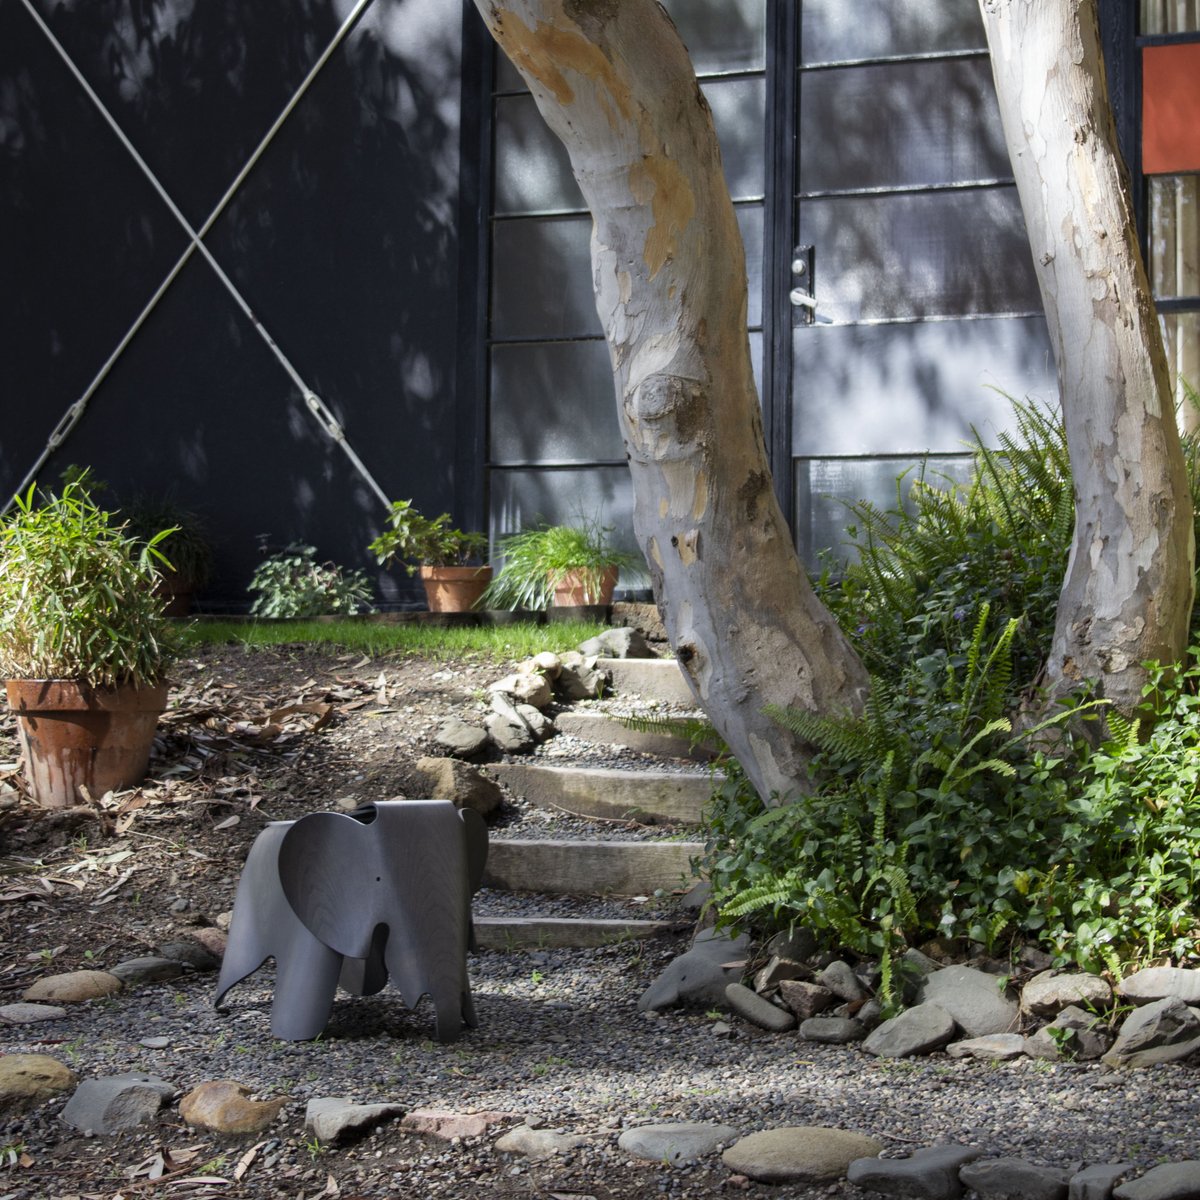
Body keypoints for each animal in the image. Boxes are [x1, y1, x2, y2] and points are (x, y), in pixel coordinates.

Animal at [214, 800, 488, 1041]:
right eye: (379, 880)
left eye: (465, 885)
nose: (444, 1035)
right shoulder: (314, 917)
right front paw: (293, 1035)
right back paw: (220, 1004)